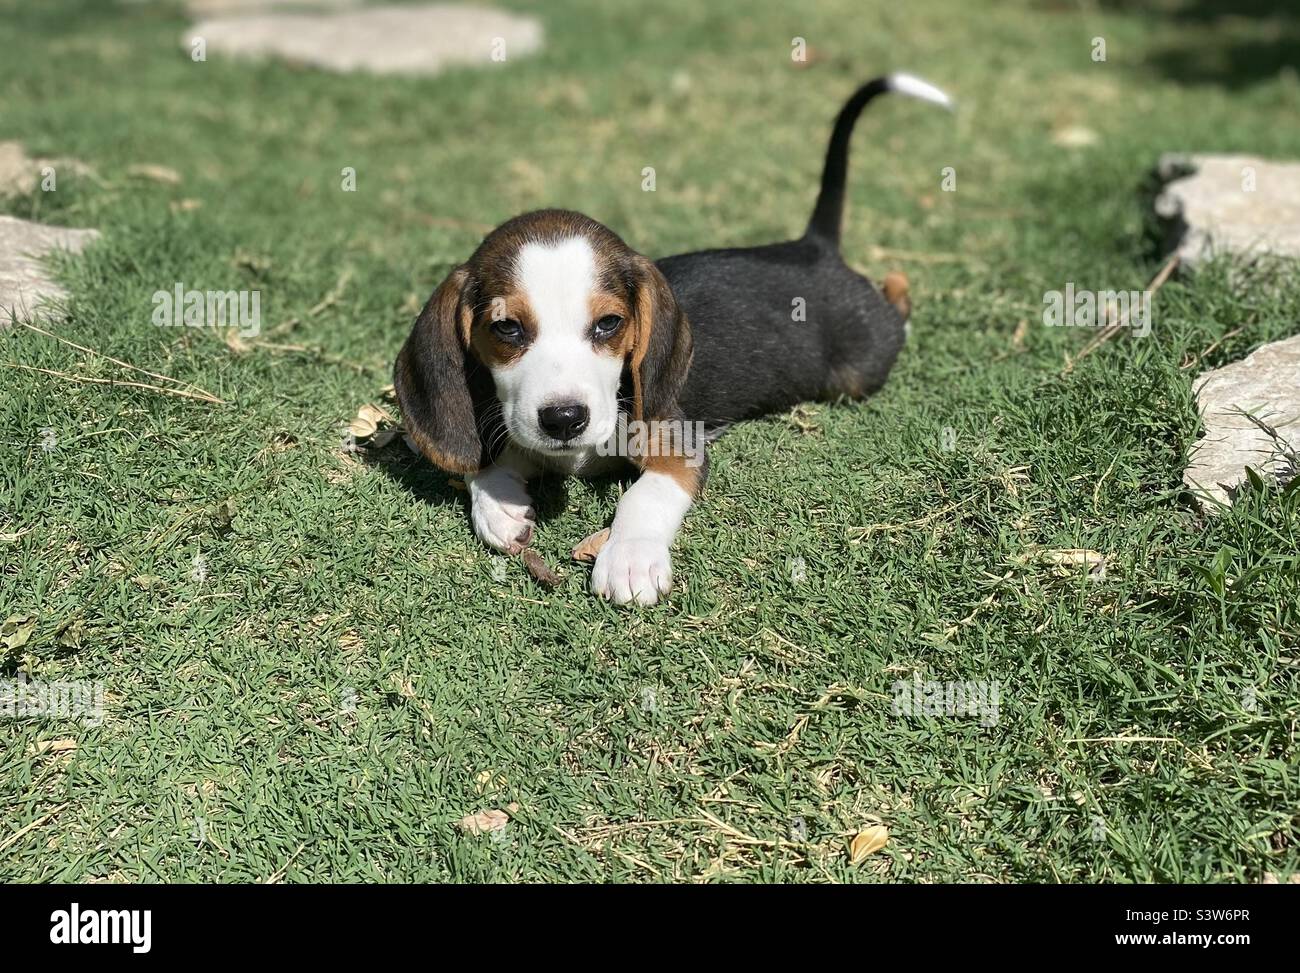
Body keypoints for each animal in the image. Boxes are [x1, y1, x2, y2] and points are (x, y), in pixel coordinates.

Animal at [390, 74, 951, 600]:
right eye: (506, 327)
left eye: (609, 324)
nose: (565, 420)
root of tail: (813, 247)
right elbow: (484, 458)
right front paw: (500, 504)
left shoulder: (679, 443)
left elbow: (644, 496)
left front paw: (629, 559)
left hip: (860, 368)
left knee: (897, 293)